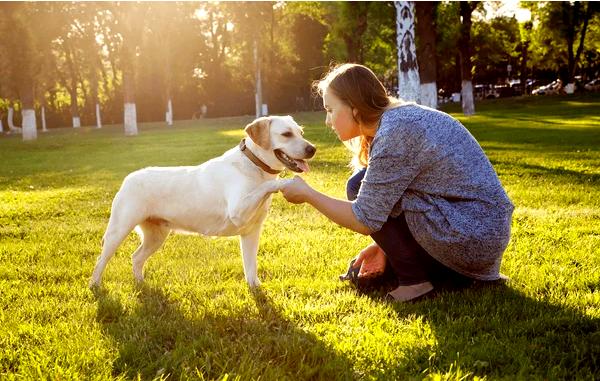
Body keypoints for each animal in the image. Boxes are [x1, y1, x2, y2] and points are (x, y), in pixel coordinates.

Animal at [89, 114, 316, 286]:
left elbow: (250, 267)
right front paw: (286, 184)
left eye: (301, 133)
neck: (254, 166)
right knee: (101, 260)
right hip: (118, 231)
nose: (312, 149)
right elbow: (266, 187)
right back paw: (96, 287)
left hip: (156, 236)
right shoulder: (238, 211)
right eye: (286, 134)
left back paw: (141, 283)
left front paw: (256, 289)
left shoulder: (251, 232)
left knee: (136, 258)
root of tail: (128, 178)